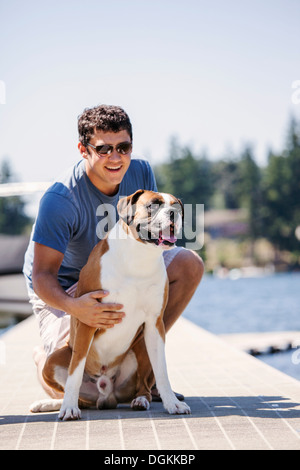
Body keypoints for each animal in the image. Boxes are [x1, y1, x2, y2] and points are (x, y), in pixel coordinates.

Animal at [30, 190, 190, 418]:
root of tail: (106, 395)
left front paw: (172, 403)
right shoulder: (87, 320)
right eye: (153, 205)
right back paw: (53, 403)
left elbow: (161, 370)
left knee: (143, 384)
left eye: (177, 206)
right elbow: (74, 372)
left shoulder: (155, 324)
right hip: (53, 360)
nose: (173, 214)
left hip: (141, 346)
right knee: (78, 393)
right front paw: (68, 408)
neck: (139, 255)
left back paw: (141, 399)